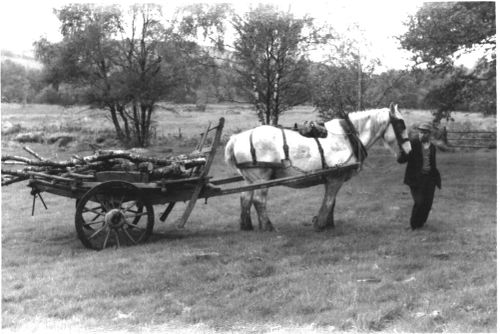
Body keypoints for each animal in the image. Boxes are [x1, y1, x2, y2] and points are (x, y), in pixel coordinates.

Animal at [225, 103, 412, 231]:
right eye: (401, 124)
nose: (408, 154)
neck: (348, 137)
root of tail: (236, 138)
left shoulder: (333, 178)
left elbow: (332, 202)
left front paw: (328, 224)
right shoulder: (335, 177)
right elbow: (328, 201)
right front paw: (320, 224)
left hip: (249, 179)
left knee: (245, 198)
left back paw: (246, 226)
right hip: (261, 177)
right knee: (258, 200)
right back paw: (268, 226)